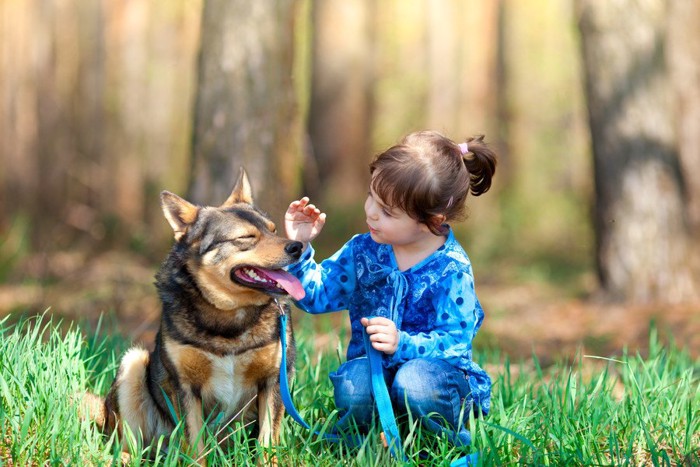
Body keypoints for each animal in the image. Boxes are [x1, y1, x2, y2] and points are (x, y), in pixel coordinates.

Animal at [83, 168, 304, 464]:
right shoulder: (186, 387)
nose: (298, 246)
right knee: (128, 445)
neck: (229, 317)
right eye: (246, 238)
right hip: (134, 364)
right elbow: (195, 444)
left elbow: (267, 443)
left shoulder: (274, 381)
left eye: (274, 230)